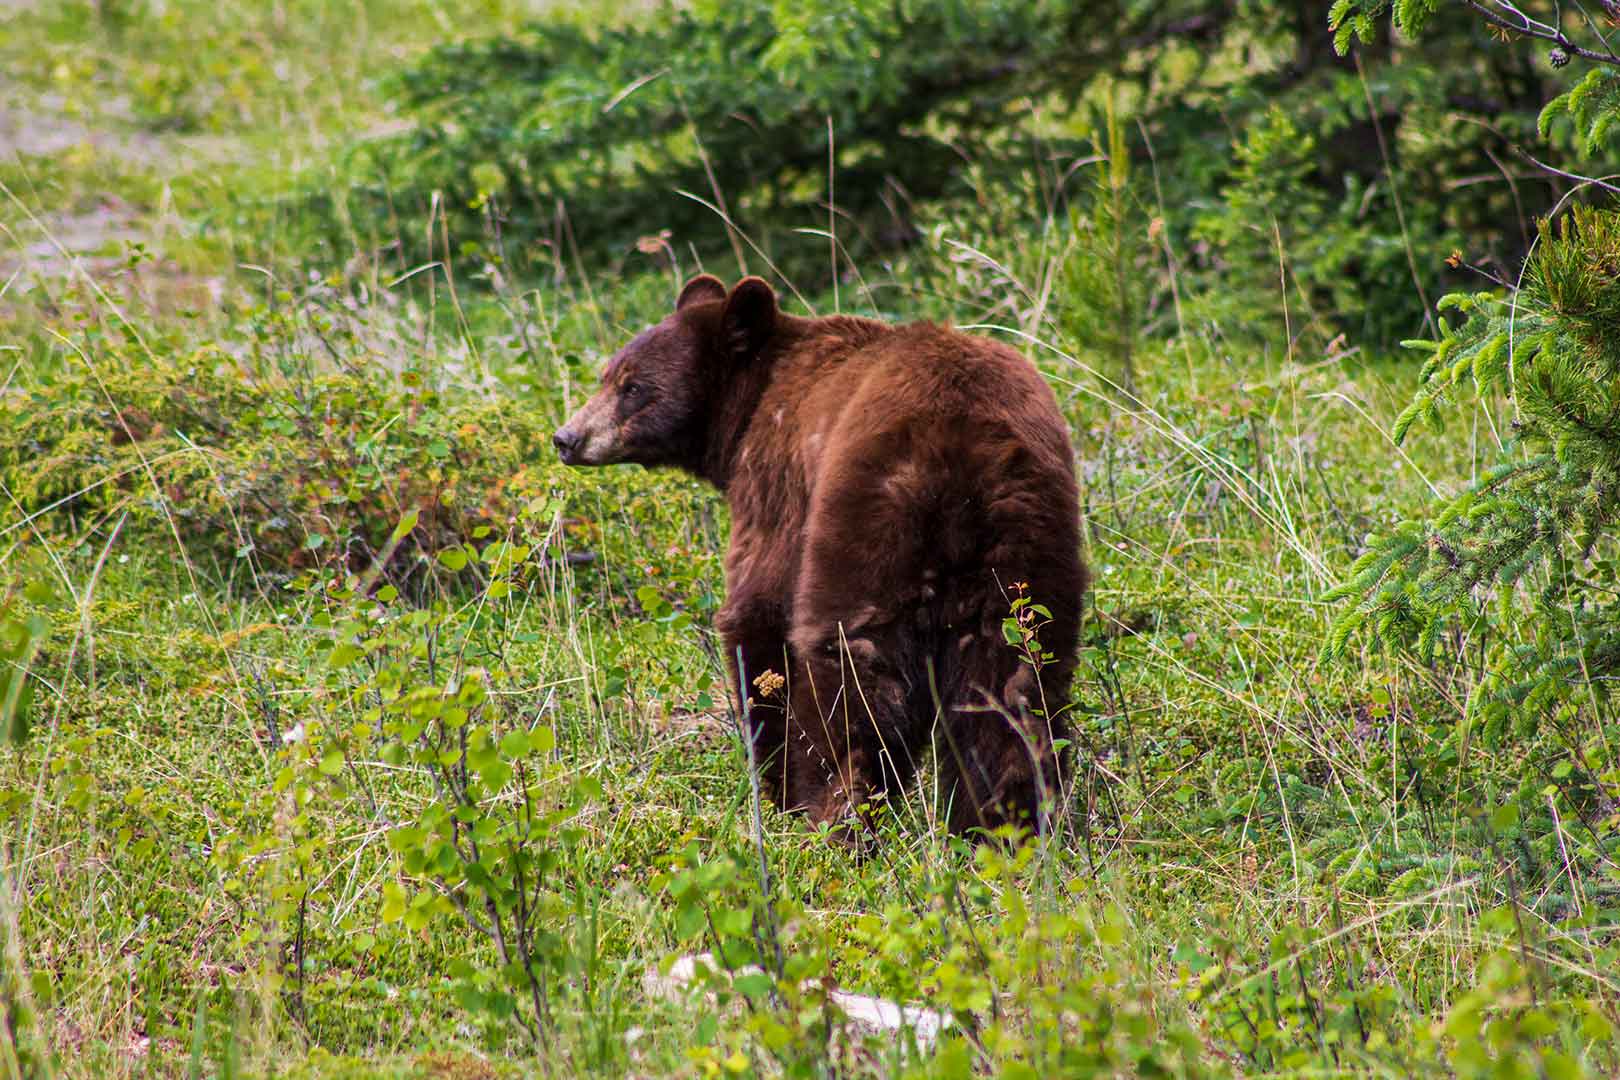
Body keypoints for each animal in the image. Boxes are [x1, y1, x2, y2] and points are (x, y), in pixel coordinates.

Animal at [557, 275, 1088, 841]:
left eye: (632, 386)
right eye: (608, 375)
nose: (567, 437)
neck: (751, 404)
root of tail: (964, 452)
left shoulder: (776, 482)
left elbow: (759, 617)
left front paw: (776, 788)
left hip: (869, 522)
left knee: (852, 676)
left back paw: (835, 818)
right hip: (1025, 551)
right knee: (1013, 688)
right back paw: (1000, 830)